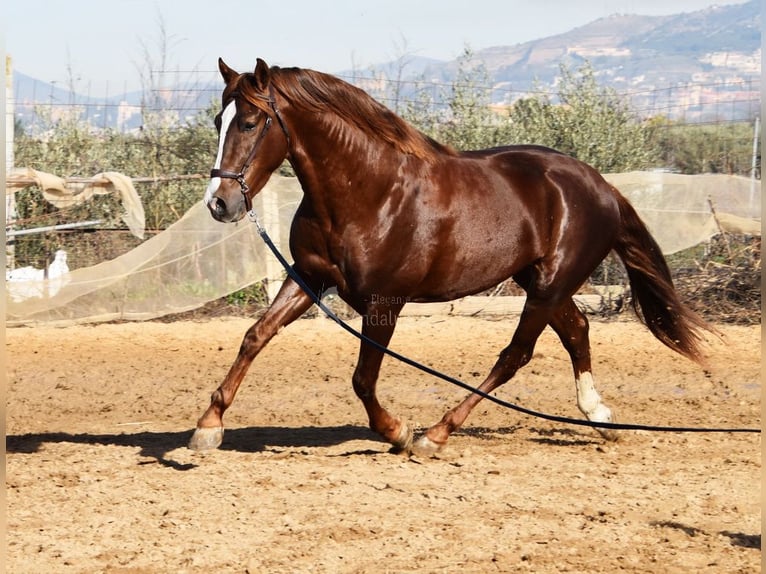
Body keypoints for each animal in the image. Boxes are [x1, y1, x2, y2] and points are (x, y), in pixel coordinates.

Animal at [190, 57, 708, 454]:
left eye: (250, 123)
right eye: (218, 122)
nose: (219, 203)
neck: (367, 192)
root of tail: (601, 186)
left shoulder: (385, 303)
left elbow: (363, 379)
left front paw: (398, 431)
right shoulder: (308, 277)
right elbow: (256, 336)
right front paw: (208, 426)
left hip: (549, 285)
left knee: (515, 355)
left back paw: (435, 435)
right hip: (538, 280)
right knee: (577, 331)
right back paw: (598, 416)